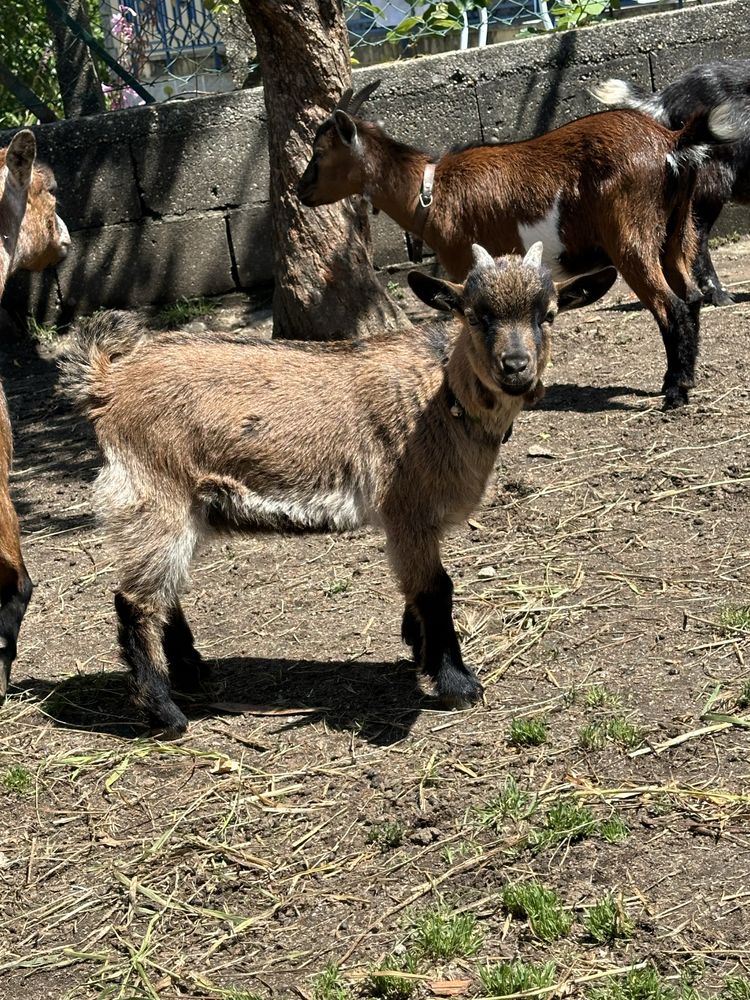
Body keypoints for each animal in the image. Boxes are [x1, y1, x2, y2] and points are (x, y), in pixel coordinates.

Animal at [296, 84, 736, 408]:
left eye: (319, 154)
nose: (301, 191)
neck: (430, 193)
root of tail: (671, 140)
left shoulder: (464, 263)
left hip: (631, 235)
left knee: (671, 306)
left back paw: (675, 392)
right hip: (677, 230)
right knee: (691, 298)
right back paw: (684, 379)